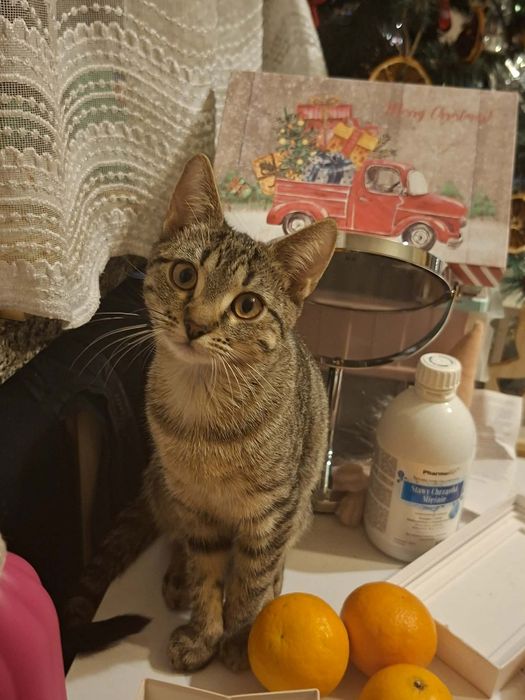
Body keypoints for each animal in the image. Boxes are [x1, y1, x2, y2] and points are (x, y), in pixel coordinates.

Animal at [64, 154, 337, 673]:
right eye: (185, 276)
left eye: (248, 305)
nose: (197, 324)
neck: (204, 410)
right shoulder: (195, 505)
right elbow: (205, 569)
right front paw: (204, 633)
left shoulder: (271, 513)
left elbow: (250, 581)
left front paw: (241, 638)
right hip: (162, 484)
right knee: (176, 537)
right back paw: (176, 577)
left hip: (302, 504)